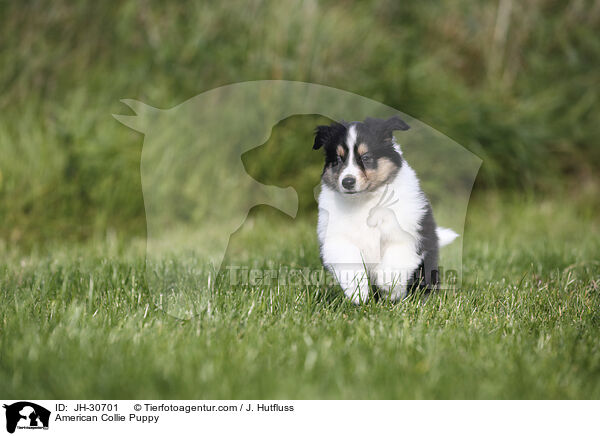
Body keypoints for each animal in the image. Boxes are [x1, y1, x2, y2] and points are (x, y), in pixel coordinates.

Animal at [312, 116, 458, 304]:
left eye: (366, 157)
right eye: (337, 160)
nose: (347, 182)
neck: (365, 200)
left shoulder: (406, 235)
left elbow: (394, 262)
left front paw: (390, 289)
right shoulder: (336, 238)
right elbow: (349, 261)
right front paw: (358, 293)